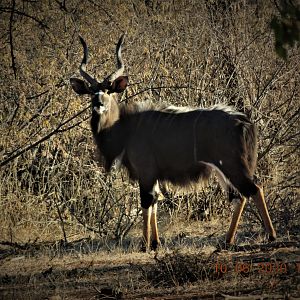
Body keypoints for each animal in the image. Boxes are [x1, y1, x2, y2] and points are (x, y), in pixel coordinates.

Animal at [70, 34, 276, 251]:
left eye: (108, 90)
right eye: (91, 92)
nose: (98, 104)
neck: (124, 128)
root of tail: (244, 122)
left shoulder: (146, 172)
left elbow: (147, 202)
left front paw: (144, 245)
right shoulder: (153, 175)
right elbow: (155, 202)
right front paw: (156, 243)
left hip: (232, 165)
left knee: (254, 189)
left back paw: (271, 236)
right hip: (224, 170)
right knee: (240, 196)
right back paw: (226, 241)